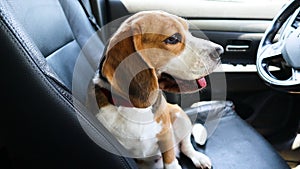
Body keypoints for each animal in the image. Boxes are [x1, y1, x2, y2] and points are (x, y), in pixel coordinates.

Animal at [93, 10, 223, 169]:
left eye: (188, 31)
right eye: (173, 39)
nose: (220, 51)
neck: (137, 109)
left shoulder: (165, 134)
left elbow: (170, 159)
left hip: (180, 115)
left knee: (186, 146)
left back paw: (198, 157)